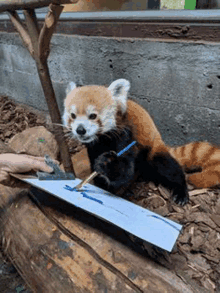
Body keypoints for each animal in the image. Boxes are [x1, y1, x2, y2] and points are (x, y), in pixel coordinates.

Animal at [62, 78, 218, 204]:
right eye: (73, 116)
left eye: (93, 116)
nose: (80, 130)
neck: (102, 139)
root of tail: (160, 140)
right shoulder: (93, 146)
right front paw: (100, 182)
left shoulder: (127, 135)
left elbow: (125, 169)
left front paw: (108, 163)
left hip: (153, 150)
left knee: (168, 168)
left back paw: (181, 191)